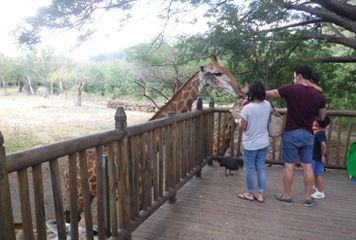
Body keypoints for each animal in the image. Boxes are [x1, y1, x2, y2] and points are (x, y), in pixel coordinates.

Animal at [62, 54, 245, 223]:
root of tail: (65, 170)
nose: (240, 91)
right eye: (217, 73)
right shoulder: (133, 194)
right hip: (77, 195)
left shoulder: (142, 191)